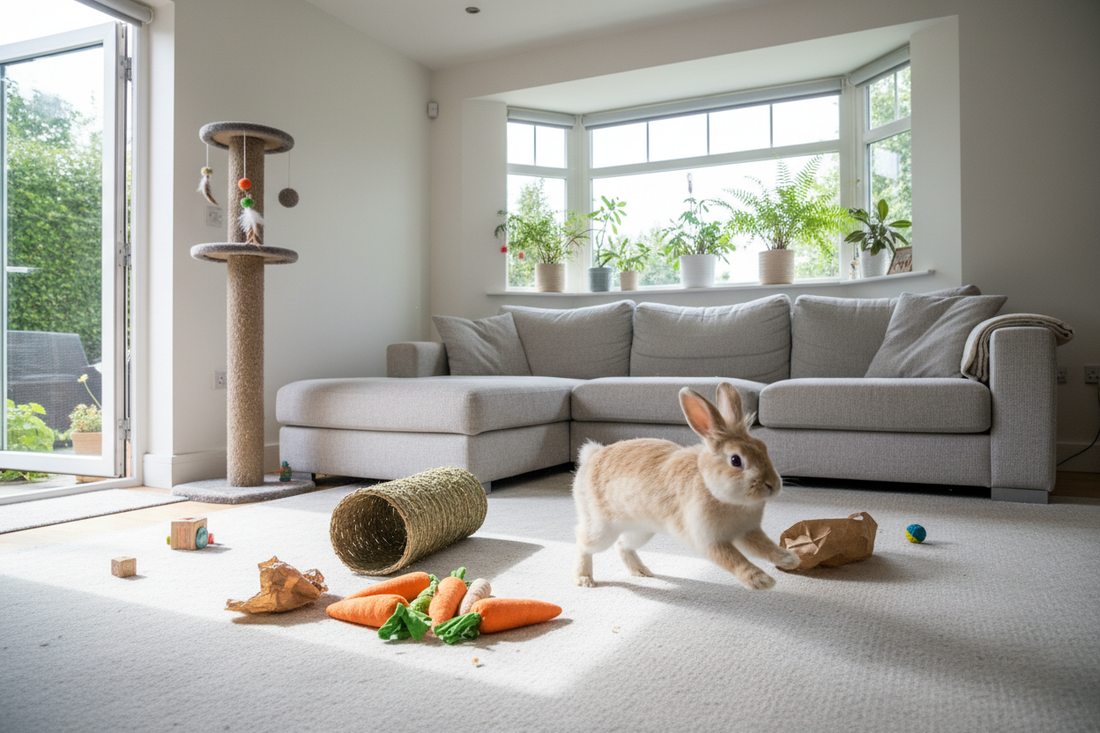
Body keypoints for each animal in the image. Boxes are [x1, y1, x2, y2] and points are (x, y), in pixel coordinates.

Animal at [572, 382, 799, 590]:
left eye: (763, 447)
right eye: (736, 460)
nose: (773, 485)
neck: (713, 488)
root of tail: (591, 457)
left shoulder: (747, 531)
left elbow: (765, 547)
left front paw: (790, 559)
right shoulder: (708, 541)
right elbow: (733, 559)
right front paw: (761, 581)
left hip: (641, 530)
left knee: (622, 545)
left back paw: (641, 571)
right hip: (602, 529)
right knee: (582, 542)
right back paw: (584, 579)